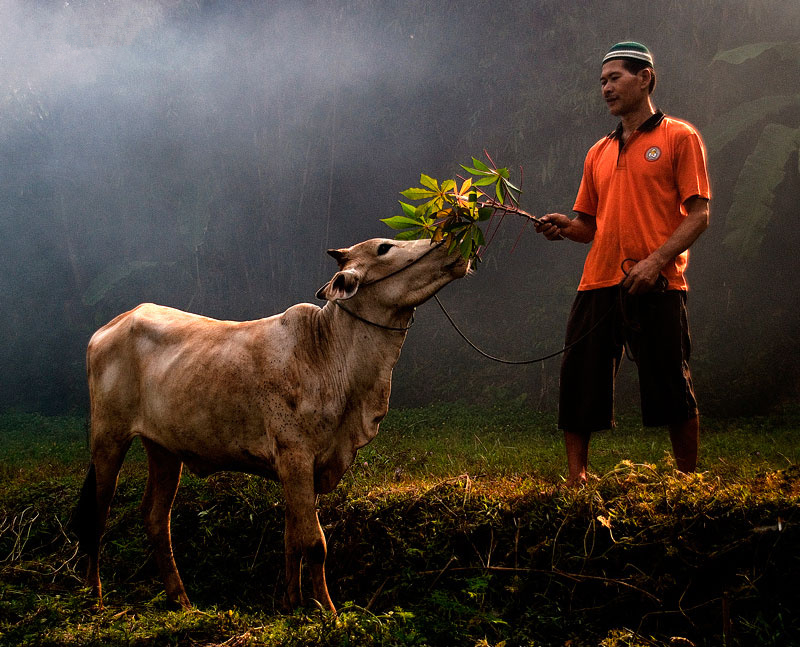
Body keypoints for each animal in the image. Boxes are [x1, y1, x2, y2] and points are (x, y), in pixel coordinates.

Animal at [74, 237, 468, 612]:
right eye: (384, 247)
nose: (453, 241)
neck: (330, 354)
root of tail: (110, 326)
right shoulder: (295, 457)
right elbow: (314, 543)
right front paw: (327, 611)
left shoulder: (306, 467)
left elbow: (293, 538)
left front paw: (291, 604)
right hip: (108, 437)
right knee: (97, 512)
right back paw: (94, 598)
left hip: (164, 450)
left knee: (156, 517)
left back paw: (180, 599)